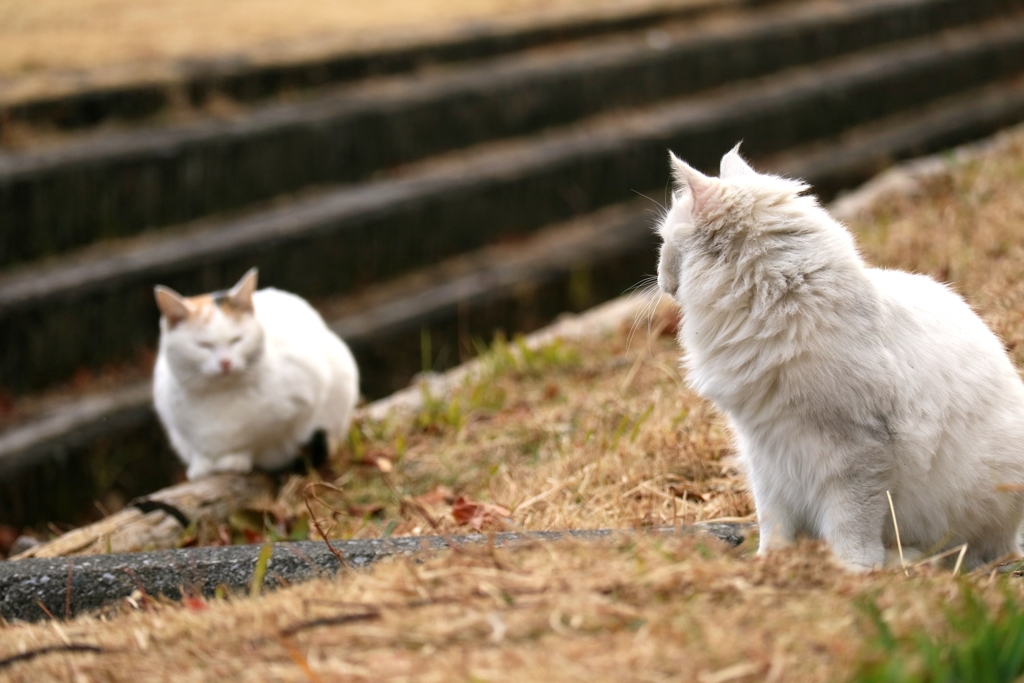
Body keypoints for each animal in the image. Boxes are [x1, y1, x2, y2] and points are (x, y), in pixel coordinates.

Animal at [151, 266, 360, 481]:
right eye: (204, 345)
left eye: (237, 340)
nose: (225, 363)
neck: (220, 396)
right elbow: (198, 448)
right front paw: (202, 464)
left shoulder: (303, 398)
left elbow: (256, 440)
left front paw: (235, 459)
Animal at [655, 145, 1024, 573]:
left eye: (666, 243)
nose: (660, 279)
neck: (776, 304)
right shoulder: (766, 453)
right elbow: (773, 521)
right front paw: (772, 561)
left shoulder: (857, 454)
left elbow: (850, 524)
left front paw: (853, 571)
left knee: (969, 552)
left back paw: (904, 561)